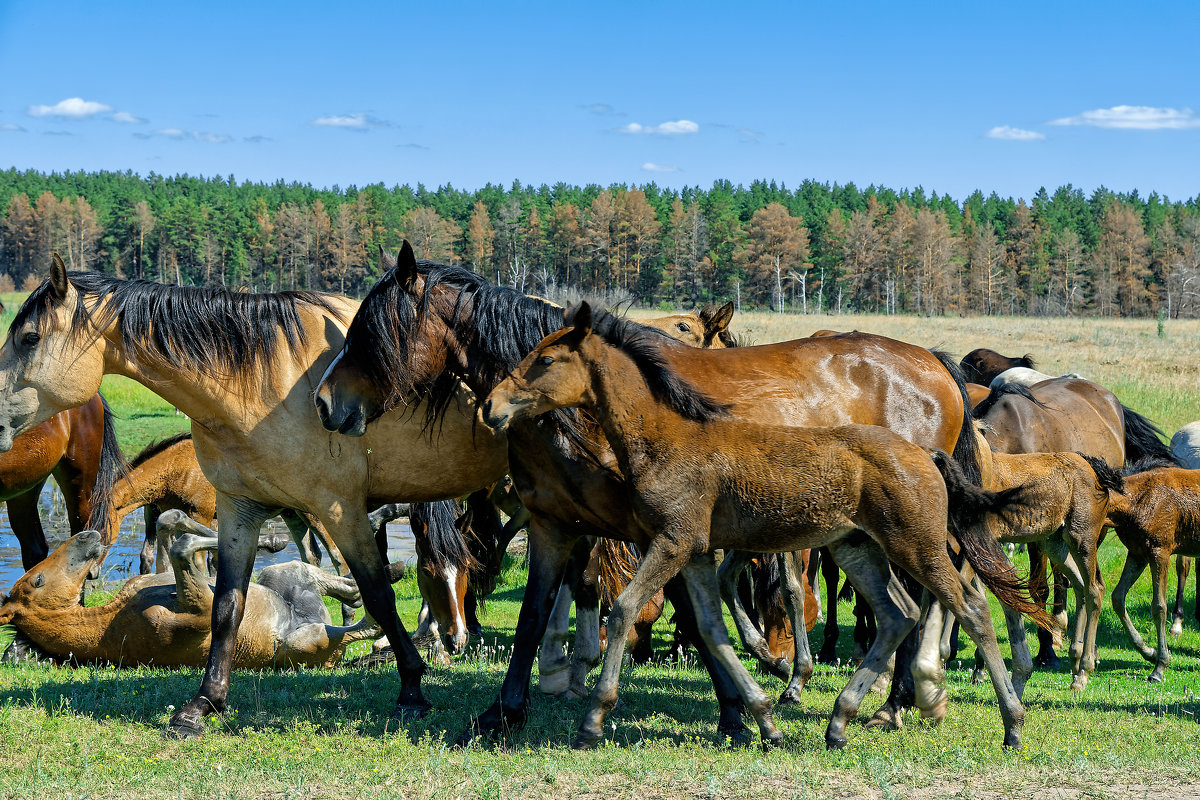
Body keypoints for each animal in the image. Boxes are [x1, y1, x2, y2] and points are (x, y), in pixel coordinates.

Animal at [0, 513, 379, 671]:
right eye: (36, 581)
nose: (87, 534)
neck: (109, 621)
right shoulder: (196, 617)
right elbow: (184, 545)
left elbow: (170, 523)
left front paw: (270, 538)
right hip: (301, 643)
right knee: (357, 630)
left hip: (282, 576)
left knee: (321, 579)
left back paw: (363, 583)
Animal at [314, 244, 979, 743]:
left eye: (369, 333)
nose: (323, 402)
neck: (589, 414)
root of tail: (938, 368)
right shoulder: (554, 525)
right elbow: (534, 618)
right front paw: (504, 711)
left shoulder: (662, 534)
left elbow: (684, 615)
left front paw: (737, 709)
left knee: (933, 594)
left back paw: (905, 695)